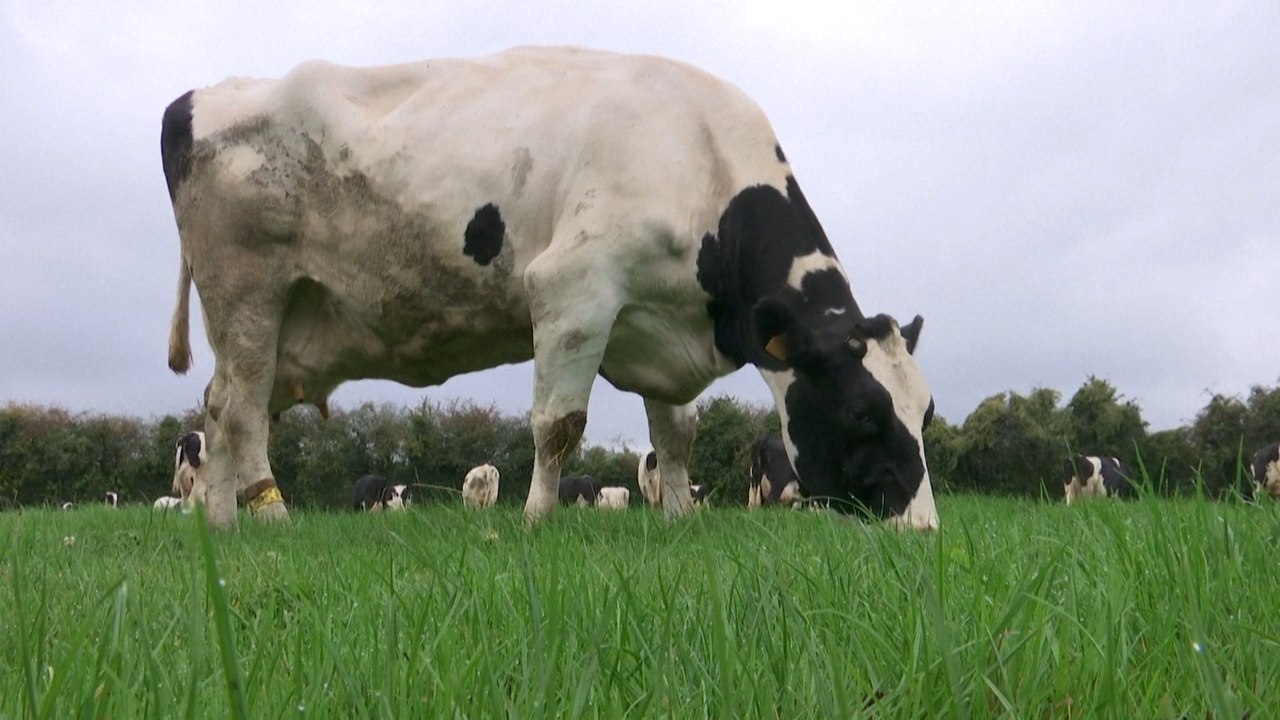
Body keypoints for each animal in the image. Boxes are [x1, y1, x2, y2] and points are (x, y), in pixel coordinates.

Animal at [161, 46, 937, 530]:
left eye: (926, 414)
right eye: (863, 411)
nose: (923, 525)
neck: (696, 159)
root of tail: (198, 98)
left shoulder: (658, 317)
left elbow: (677, 435)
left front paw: (679, 515)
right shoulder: (574, 289)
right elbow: (559, 424)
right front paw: (537, 518)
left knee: (223, 407)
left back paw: (225, 524)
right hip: (246, 291)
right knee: (239, 411)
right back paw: (270, 514)